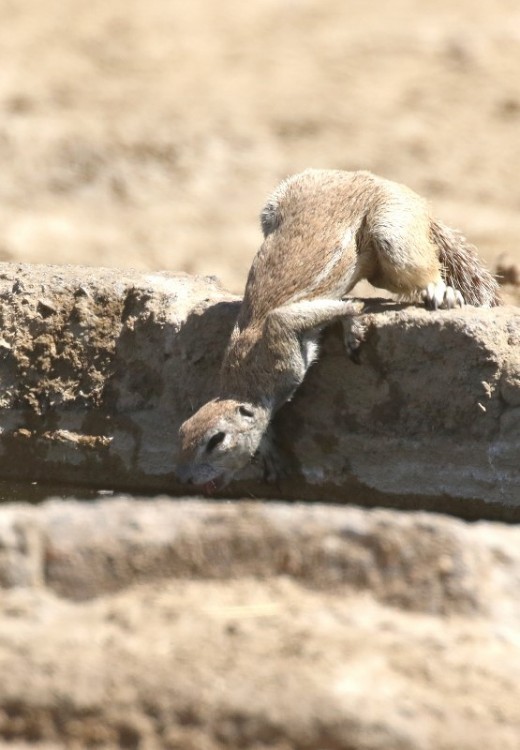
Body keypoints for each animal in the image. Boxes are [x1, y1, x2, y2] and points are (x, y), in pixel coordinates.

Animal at [178, 167, 500, 490]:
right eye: (180, 433)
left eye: (217, 440)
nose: (187, 479)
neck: (242, 381)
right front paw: (269, 453)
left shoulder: (280, 343)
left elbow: (302, 315)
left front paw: (352, 323)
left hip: (390, 228)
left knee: (420, 265)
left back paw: (439, 291)